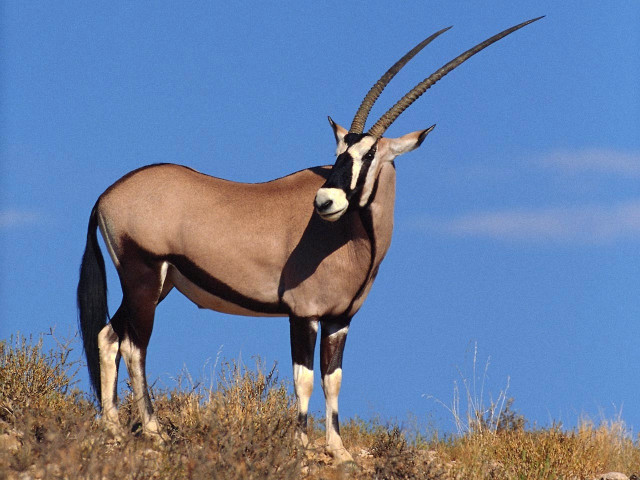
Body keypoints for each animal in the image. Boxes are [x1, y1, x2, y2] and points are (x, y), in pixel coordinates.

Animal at [77, 17, 542, 463]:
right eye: (339, 152)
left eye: (368, 154)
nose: (325, 200)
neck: (354, 240)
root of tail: (107, 194)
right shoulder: (303, 314)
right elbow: (303, 379)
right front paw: (301, 446)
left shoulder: (340, 319)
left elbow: (332, 380)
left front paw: (338, 451)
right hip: (144, 277)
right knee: (134, 346)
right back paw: (153, 432)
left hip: (157, 285)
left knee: (108, 336)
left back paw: (113, 429)